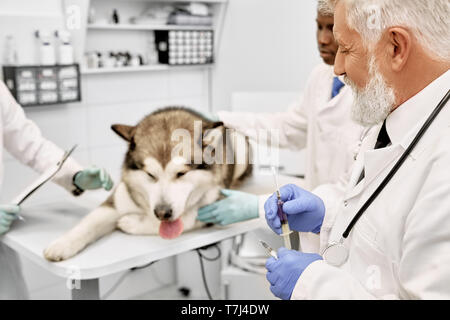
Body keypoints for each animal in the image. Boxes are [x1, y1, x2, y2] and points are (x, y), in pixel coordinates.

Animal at [44, 106, 253, 262]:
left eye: (181, 173)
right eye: (150, 174)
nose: (162, 212)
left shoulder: (215, 206)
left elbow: (184, 221)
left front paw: (131, 222)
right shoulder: (119, 199)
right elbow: (89, 222)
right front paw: (62, 244)